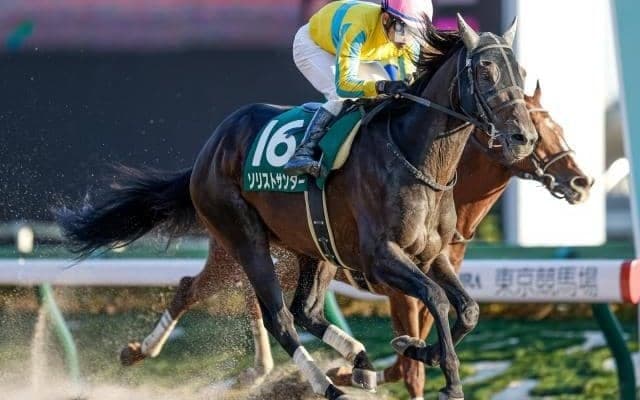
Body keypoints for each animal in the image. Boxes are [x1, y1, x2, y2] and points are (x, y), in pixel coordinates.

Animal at [57, 16, 537, 400]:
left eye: (521, 70)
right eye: (487, 70)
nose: (523, 137)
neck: (414, 156)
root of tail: (209, 150)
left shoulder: (431, 253)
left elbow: (468, 309)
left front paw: (418, 349)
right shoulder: (382, 257)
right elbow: (436, 298)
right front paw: (450, 381)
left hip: (313, 246)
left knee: (301, 309)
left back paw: (358, 362)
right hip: (243, 240)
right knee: (278, 317)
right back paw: (327, 386)